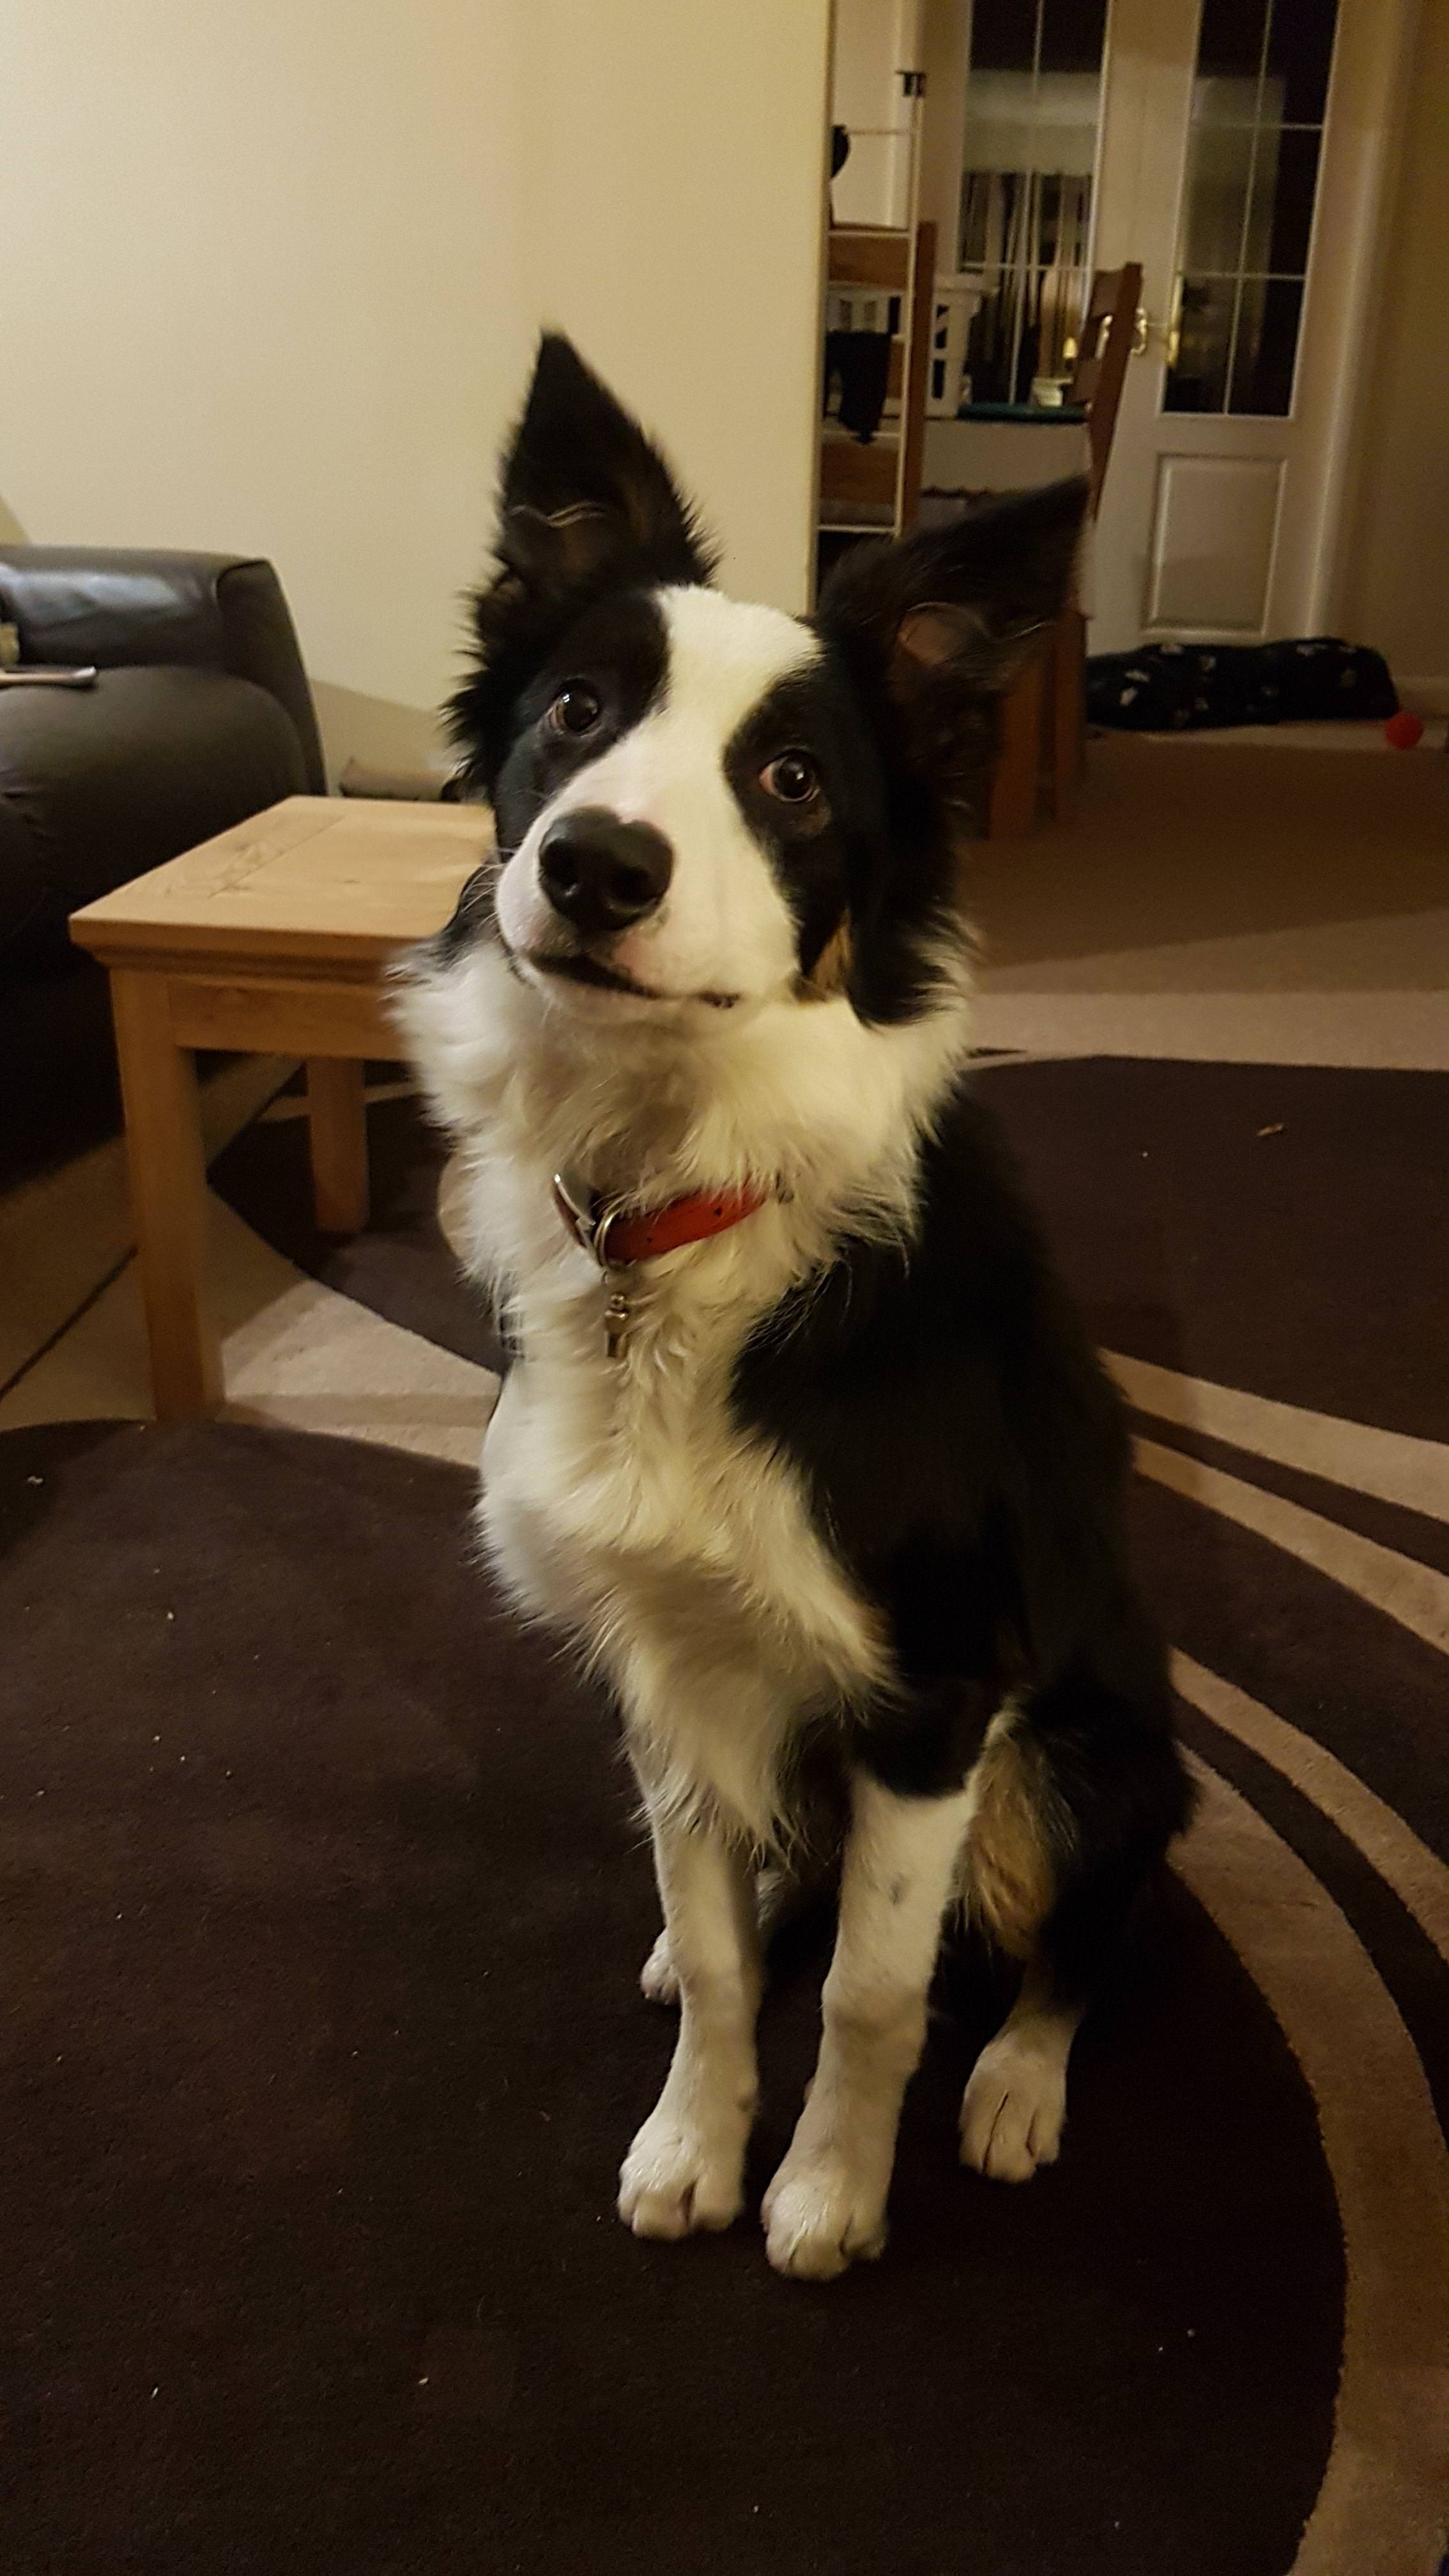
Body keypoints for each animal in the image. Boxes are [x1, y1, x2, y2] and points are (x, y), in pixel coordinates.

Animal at [399, 337, 1191, 2277]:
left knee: (1080, 1936)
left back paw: (1018, 2085)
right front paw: (697, 2142)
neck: (675, 1207)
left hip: (1102, 1754)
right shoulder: (667, 1658)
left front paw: (828, 2190)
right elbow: (725, 1966)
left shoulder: (936, 1691)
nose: (596, 866)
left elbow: (871, 1993)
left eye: (791, 781)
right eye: (575, 711)